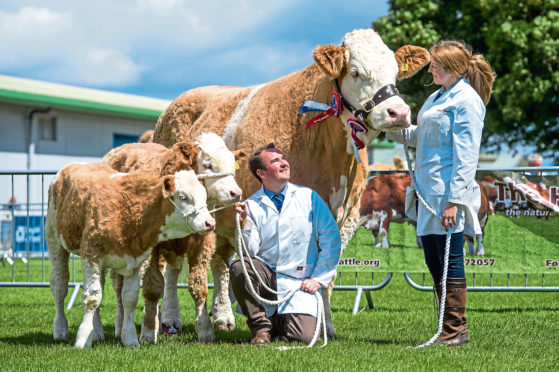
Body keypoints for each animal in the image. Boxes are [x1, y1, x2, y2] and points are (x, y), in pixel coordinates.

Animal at [46, 164, 214, 348]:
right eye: (183, 197)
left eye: (204, 196)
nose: (210, 223)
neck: (127, 211)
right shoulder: (91, 255)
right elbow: (92, 297)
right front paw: (83, 338)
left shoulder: (138, 260)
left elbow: (129, 298)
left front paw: (130, 338)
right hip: (54, 241)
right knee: (59, 285)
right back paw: (60, 329)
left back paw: (96, 332)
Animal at [103, 133, 245, 342]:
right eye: (208, 165)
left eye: (232, 165)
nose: (236, 193)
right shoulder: (152, 249)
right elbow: (153, 289)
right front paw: (147, 332)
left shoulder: (202, 245)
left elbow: (198, 287)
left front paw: (205, 330)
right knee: (119, 287)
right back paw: (121, 326)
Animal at [152, 27, 428, 332]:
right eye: (356, 72)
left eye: (395, 72)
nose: (399, 113)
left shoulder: (346, 219)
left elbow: (327, 274)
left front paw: (326, 324)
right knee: (172, 265)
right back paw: (169, 318)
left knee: (220, 262)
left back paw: (223, 316)